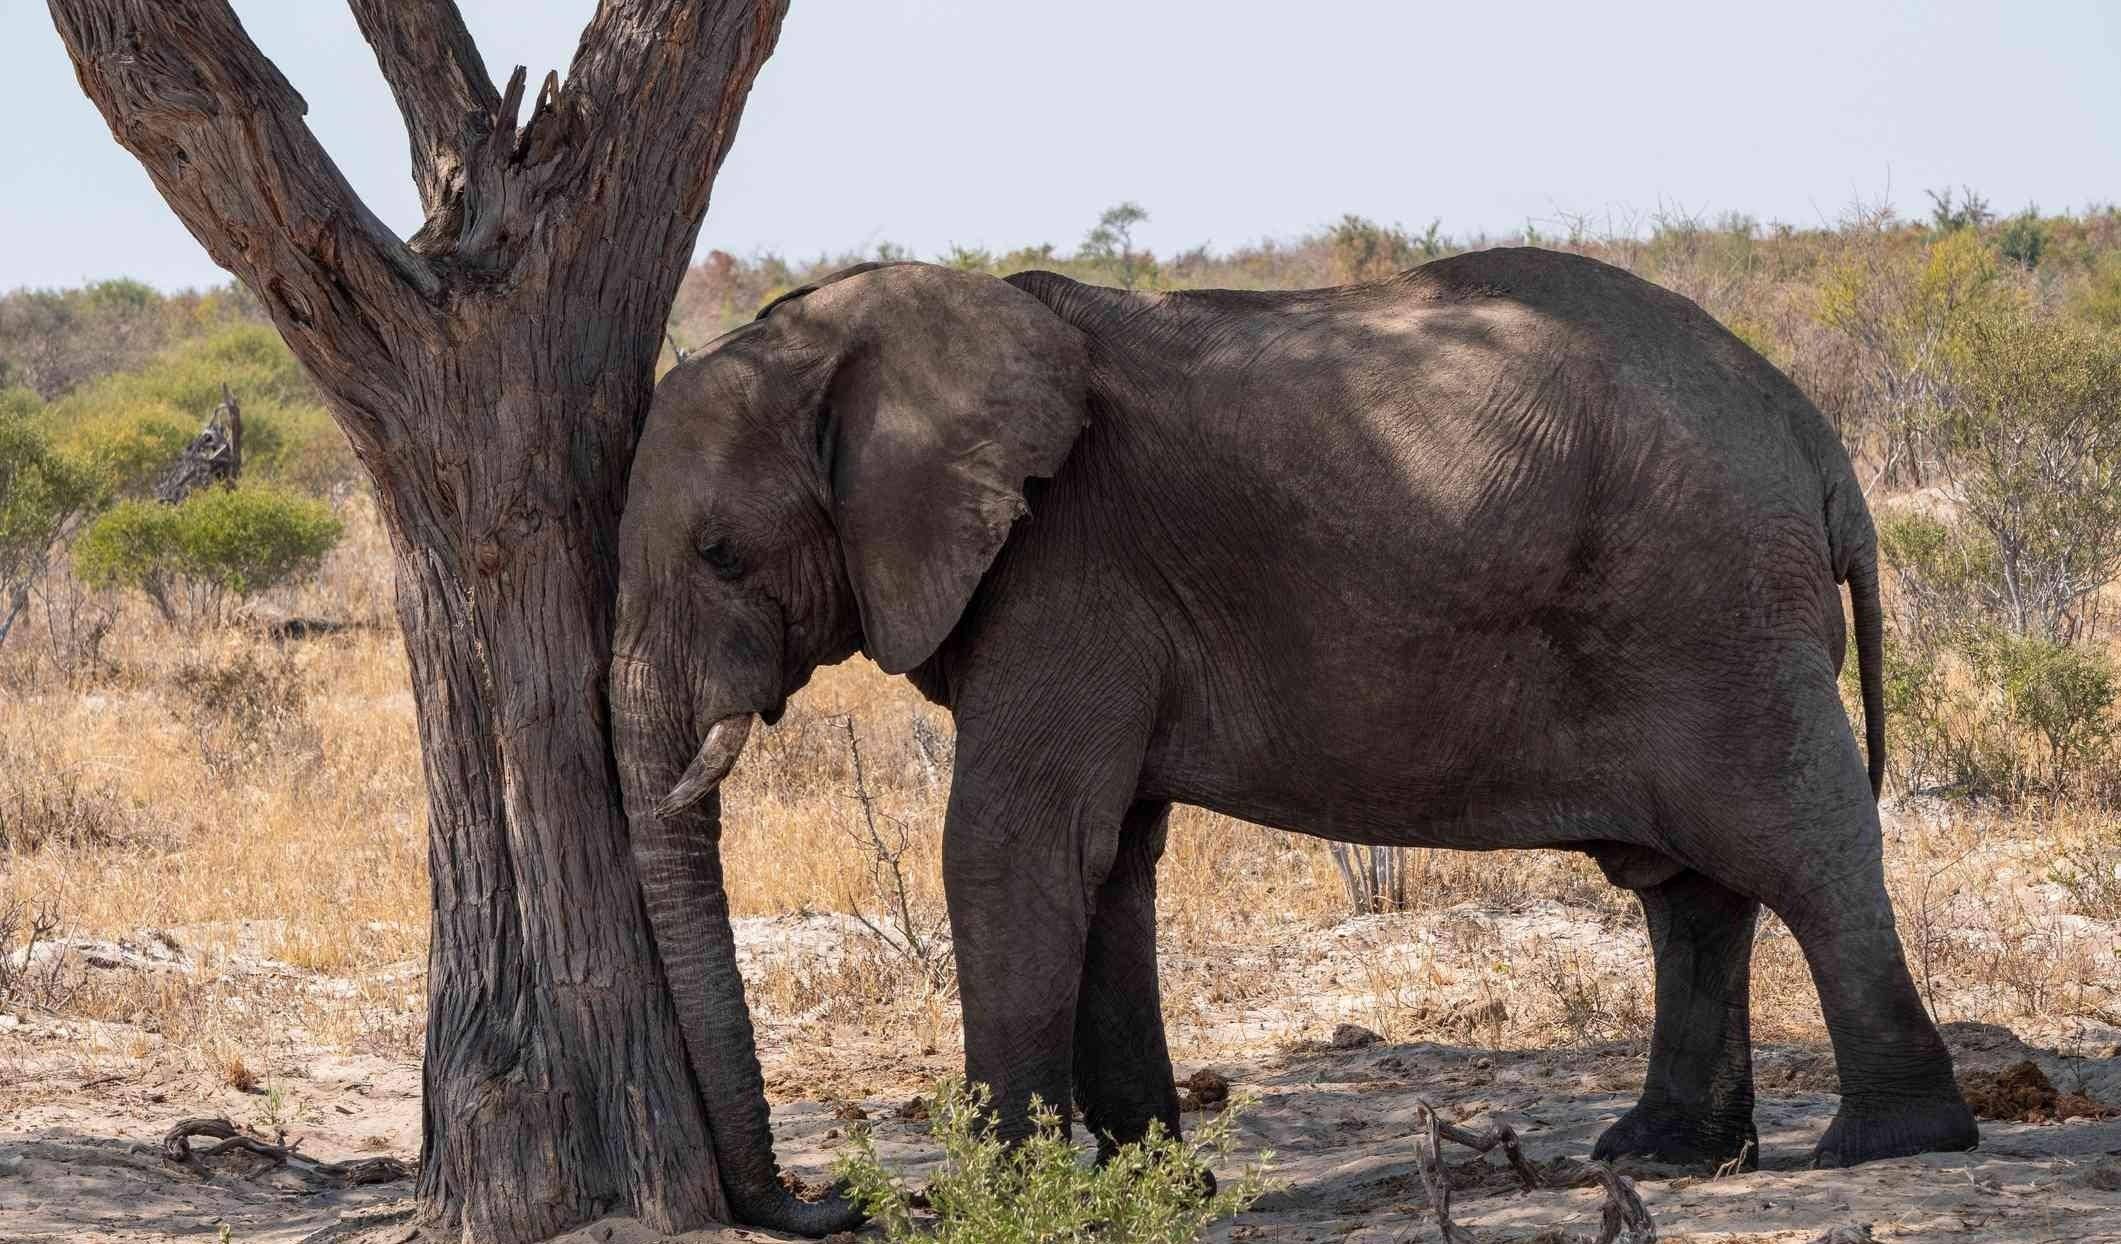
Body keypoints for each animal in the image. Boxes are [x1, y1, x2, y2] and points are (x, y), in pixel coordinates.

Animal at [606, 245, 1976, 1237]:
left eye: (722, 553)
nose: (831, 1200)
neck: (866, 329)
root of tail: (1815, 437)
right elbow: (1110, 861)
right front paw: (1158, 1185)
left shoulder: (1066, 574)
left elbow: (1013, 843)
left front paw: (998, 1197)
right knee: (1690, 888)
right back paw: (1670, 1151)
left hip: (1715, 605)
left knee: (1799, 845)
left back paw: (1892, 1142)